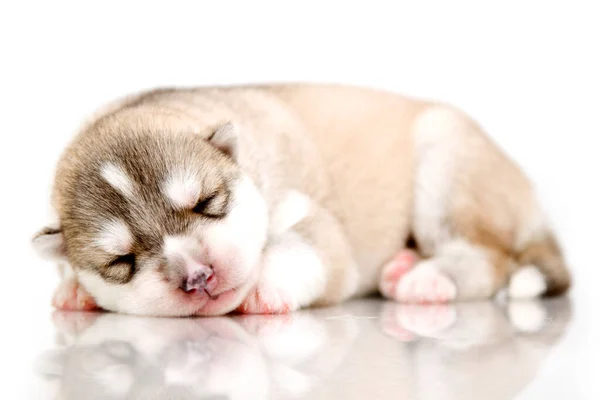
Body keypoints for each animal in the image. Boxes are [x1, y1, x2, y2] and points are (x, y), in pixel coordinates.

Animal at [29, 84, 572, 316]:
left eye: (209, 202)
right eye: (121, 261)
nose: (198, 277)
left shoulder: (316, 225)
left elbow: (302, 251)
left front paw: (265, 284)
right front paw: (73, 290)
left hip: (446, 164)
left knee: (490, 258)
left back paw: (426, 278)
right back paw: (402, 265)